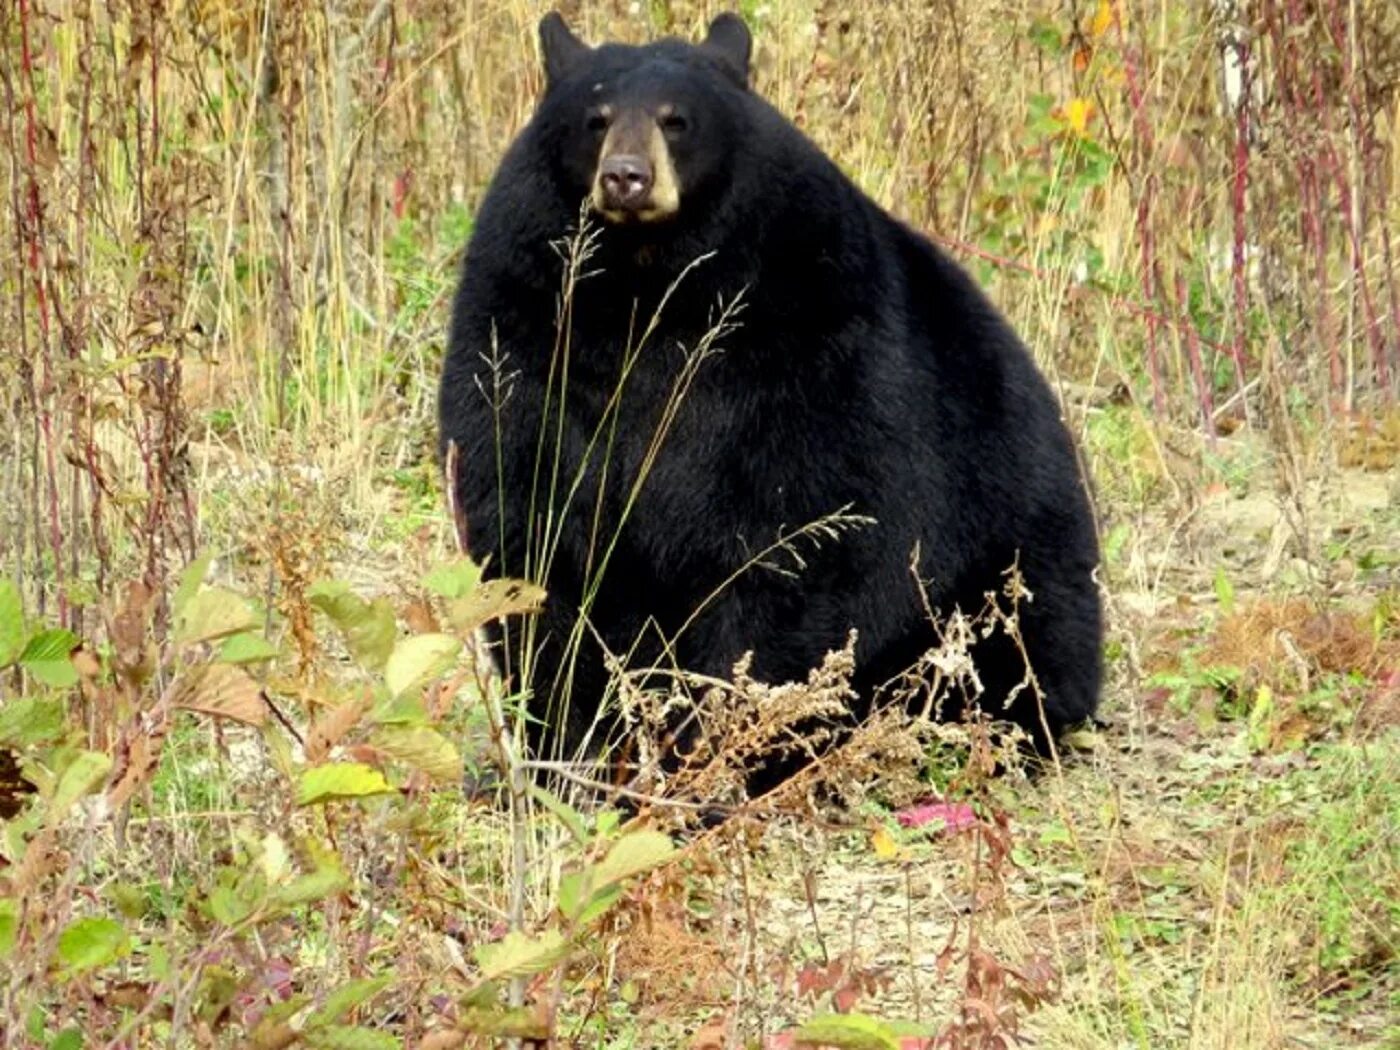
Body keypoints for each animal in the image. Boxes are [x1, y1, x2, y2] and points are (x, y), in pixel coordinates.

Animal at [438, 11, 1103, 792]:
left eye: (677, 119)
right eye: (594, 119)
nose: (626, 177)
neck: (647, 287)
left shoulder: (808, 337)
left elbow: (804, 542)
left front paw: (714, 750)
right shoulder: (527, 320)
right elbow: (530, 522)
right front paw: (572, 748)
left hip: (1015, 565)